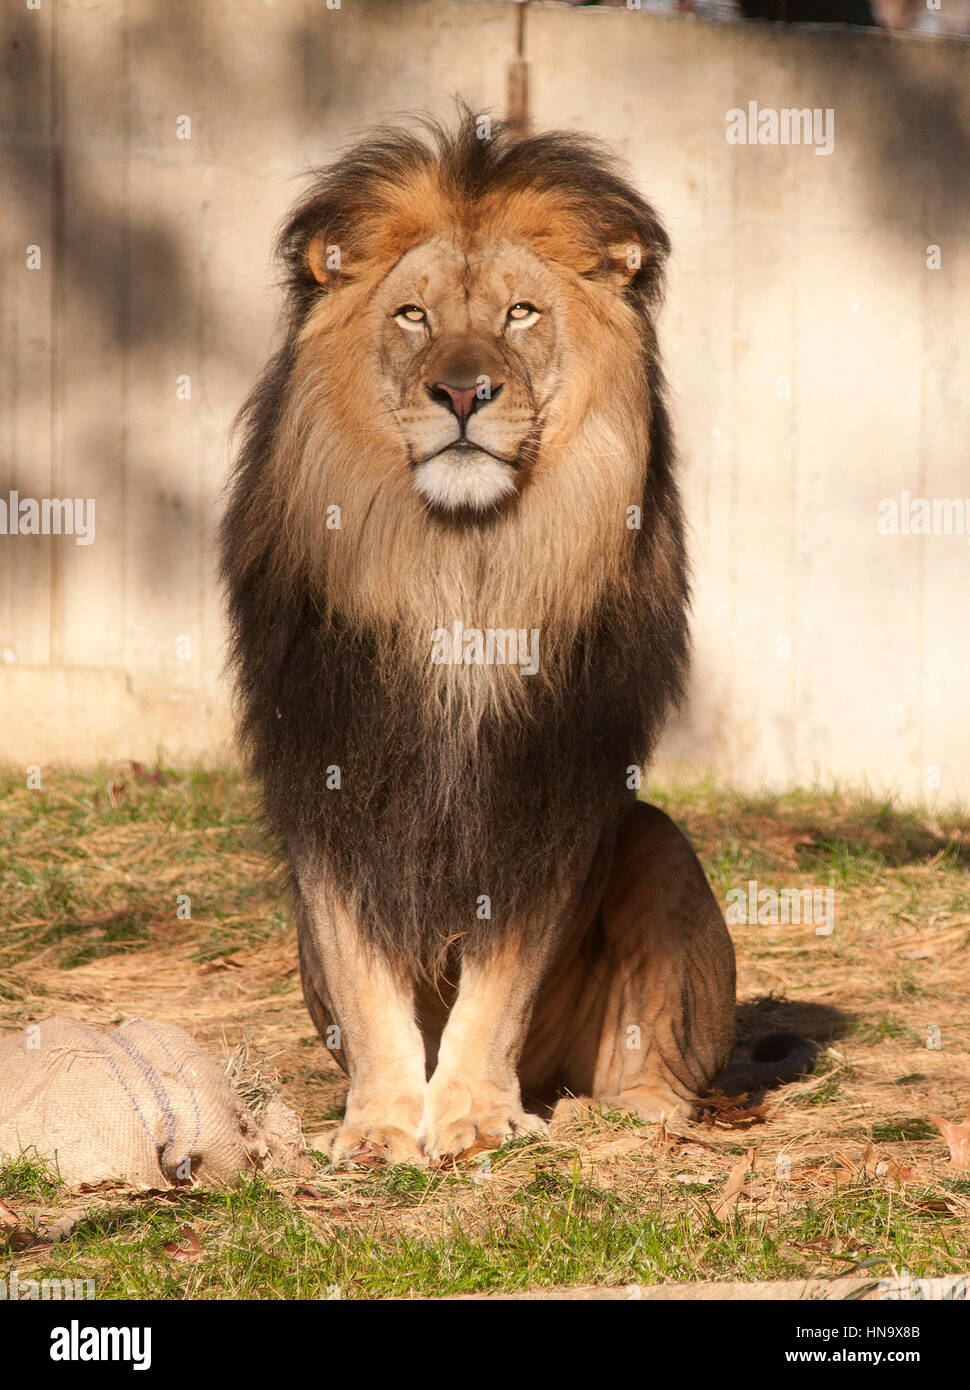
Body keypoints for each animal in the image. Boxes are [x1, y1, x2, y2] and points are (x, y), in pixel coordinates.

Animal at [222, 113, 806, 1167]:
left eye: (522, 313)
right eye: (414, 316)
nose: (463, 392)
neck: (464, 563)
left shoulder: (549, 792)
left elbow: (499, 986)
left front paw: (474, 1119)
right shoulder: (331, 785)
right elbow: (366, 981)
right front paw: (381, 1124)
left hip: (657, 848)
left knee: (663, 1076)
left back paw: (607, 1118)